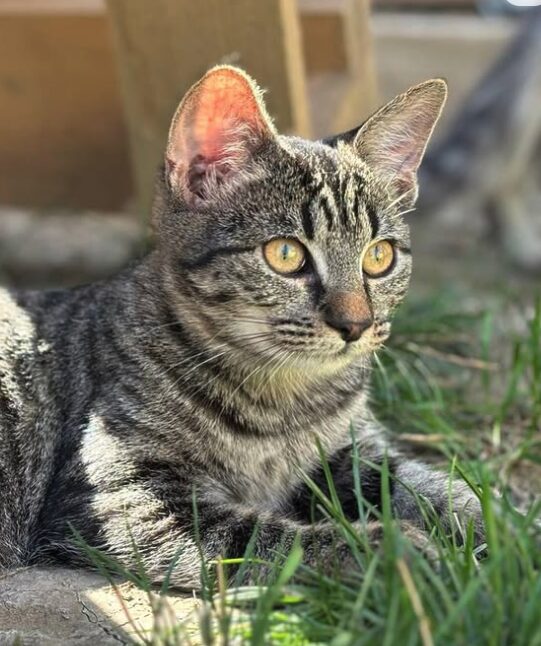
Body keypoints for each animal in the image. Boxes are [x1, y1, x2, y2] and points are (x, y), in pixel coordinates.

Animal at [0, 67, 480, 588]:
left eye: (379, 256)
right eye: (285, 254)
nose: (355, 324)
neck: (285, 404)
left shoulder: (352, 450)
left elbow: (434, 487)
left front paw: (500, 530)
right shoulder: (120, 495)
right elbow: (261, 538)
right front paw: (387, 550)